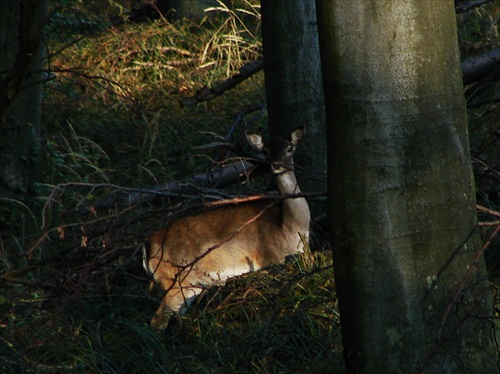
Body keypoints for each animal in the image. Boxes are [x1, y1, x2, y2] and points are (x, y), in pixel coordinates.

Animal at [143, 126, 310, 328]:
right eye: (266, 151)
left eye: (289, 148)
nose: (277, 165)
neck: (291, 226)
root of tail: (147, 244)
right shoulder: (270, 259)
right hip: (174, 278)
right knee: (157, 320)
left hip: (190, 284)